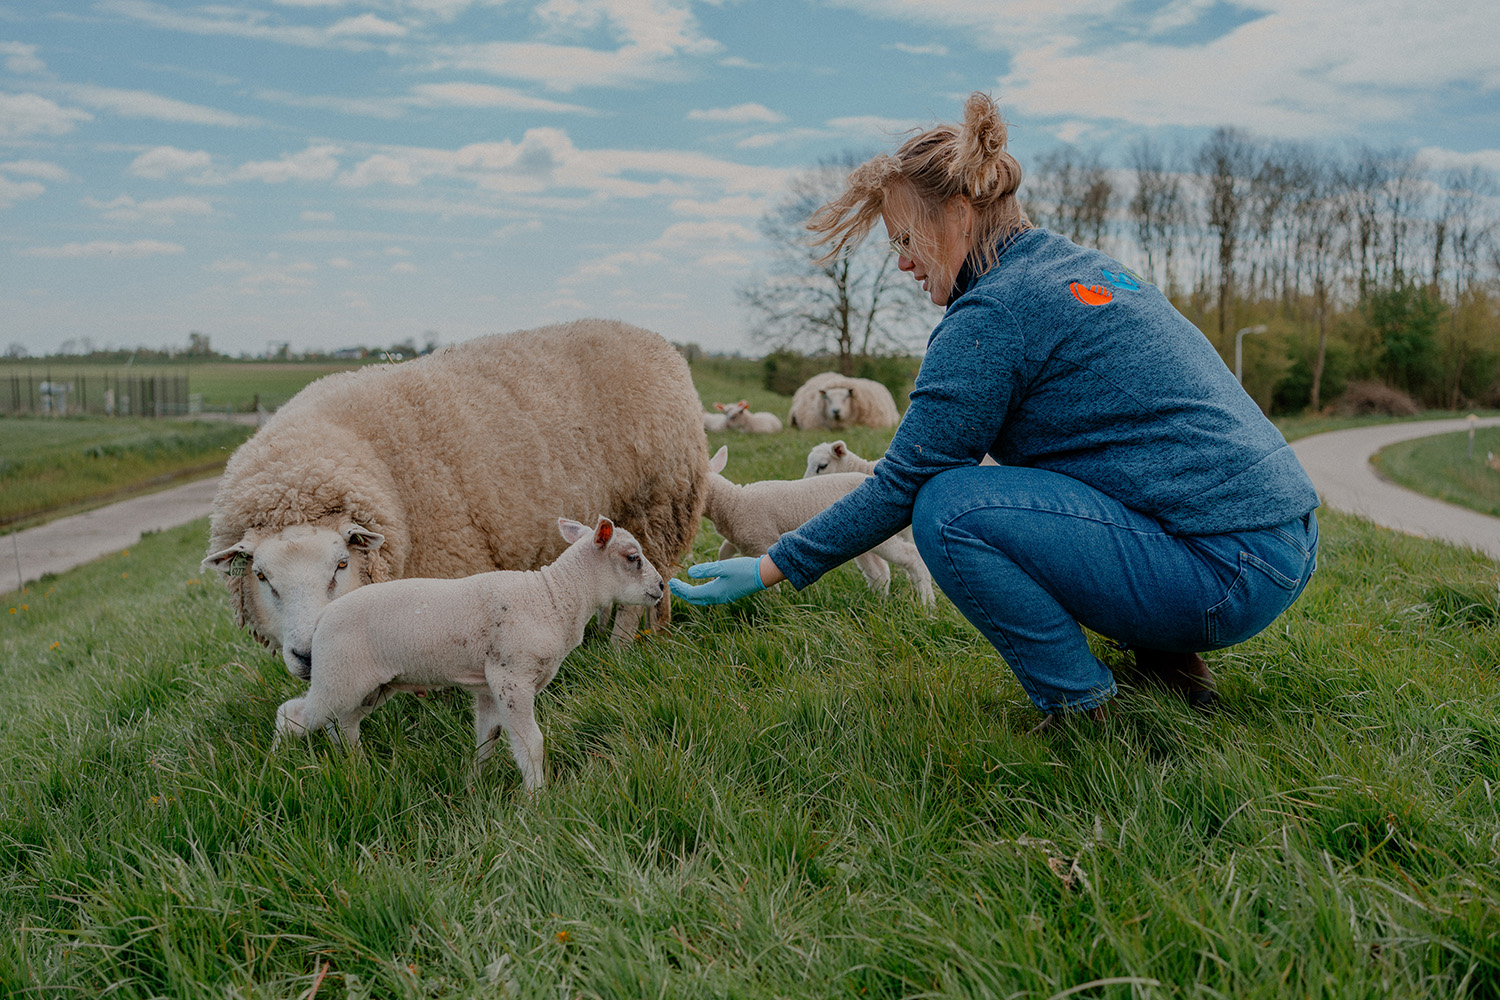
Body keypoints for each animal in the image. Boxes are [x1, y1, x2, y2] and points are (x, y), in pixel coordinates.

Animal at [202, 316, 711, 671]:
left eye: (341, 565)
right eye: (261, 576)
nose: (310, 656)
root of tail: (661, 344)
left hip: (657, 505)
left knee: (646, 587)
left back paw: (625, 647)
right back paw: (654, 635)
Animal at [276, 515, 663, 791]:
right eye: (633, 557)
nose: (660, 586)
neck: (554, 596)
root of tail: (321, 619)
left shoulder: (491, 685)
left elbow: (488, 738)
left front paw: (475, 784)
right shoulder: (512, 676)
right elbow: (531, 742)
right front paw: (537, 799)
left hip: (370, 685)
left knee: (344, 723)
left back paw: (358, 767)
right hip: (338, 676)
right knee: (293, 715)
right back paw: (279, 762)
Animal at [699, 449, 930, 605]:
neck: (733, 502)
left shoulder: (761, 542)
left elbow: (764, 578)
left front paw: (771, 604)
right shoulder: (737, 538)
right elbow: (723, 552)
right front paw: (714, 574)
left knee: (911, 557)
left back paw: (927, 607)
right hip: (861, 538)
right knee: (879, 571)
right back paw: (878, 602)